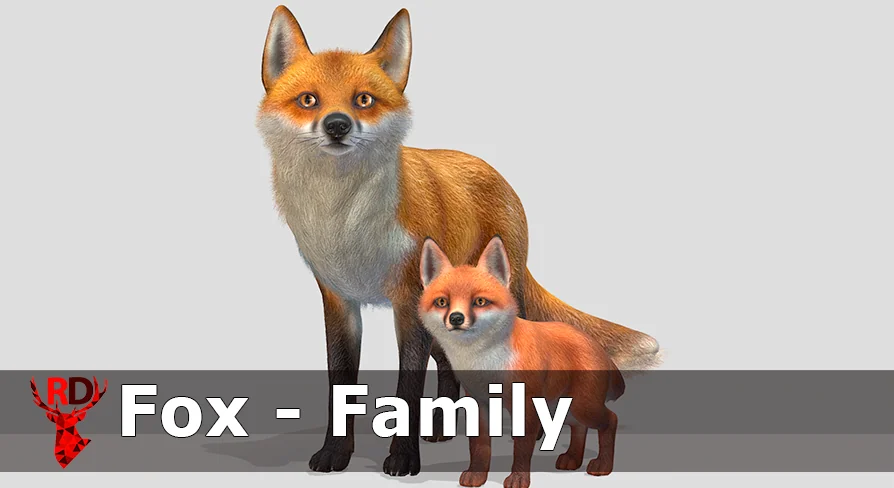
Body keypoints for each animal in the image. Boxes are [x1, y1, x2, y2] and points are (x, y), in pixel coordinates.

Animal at [418, 236, 625, 488]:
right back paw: (573, 459)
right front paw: (477, 475)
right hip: (564, 408)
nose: (456, 318)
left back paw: (603, 465)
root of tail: (594, 344)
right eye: (442, 302)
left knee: (610, 420)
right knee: (579, 428)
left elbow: (522, 448)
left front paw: (518, 478)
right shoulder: (478, 403)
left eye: (479, 301)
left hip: (583, 406)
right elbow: (479, 446)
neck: (486, 363)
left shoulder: (526, 405)